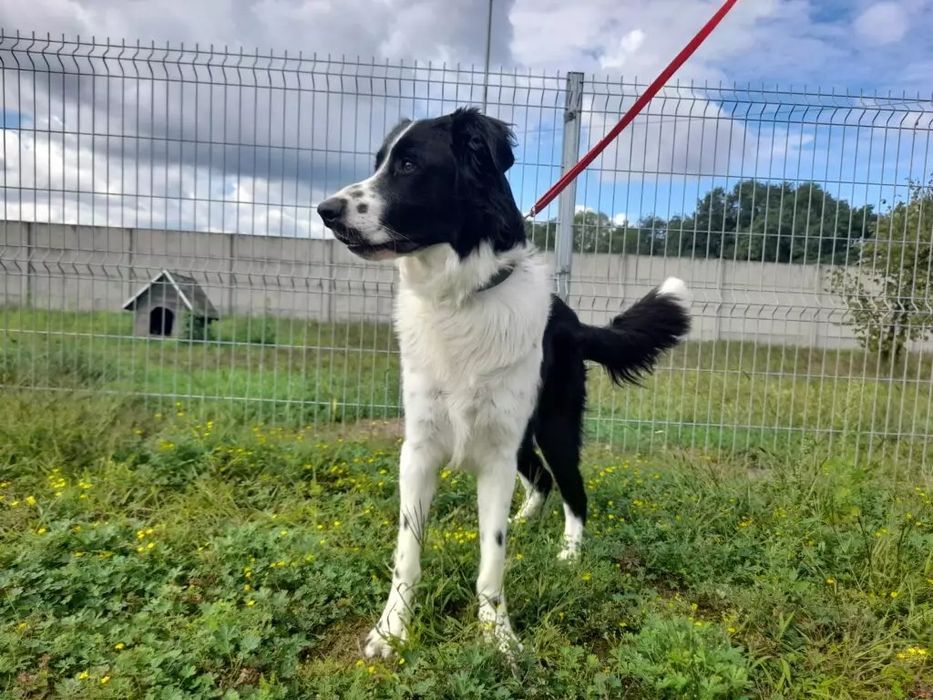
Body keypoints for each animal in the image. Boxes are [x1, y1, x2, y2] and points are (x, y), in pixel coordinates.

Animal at [316, 108, 688, 656]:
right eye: (379, 162)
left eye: (409, 165)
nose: (326, 210)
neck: (460, 298)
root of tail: (573, 320)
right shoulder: (420, 449)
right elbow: (408, 554)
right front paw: (392, 630)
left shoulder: (495, 455)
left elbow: (491, 560)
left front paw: (499, 636)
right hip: (524, 435)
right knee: (541, 480)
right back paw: (526, 520)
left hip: (554, 427)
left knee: (574, 491)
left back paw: (569, 554)